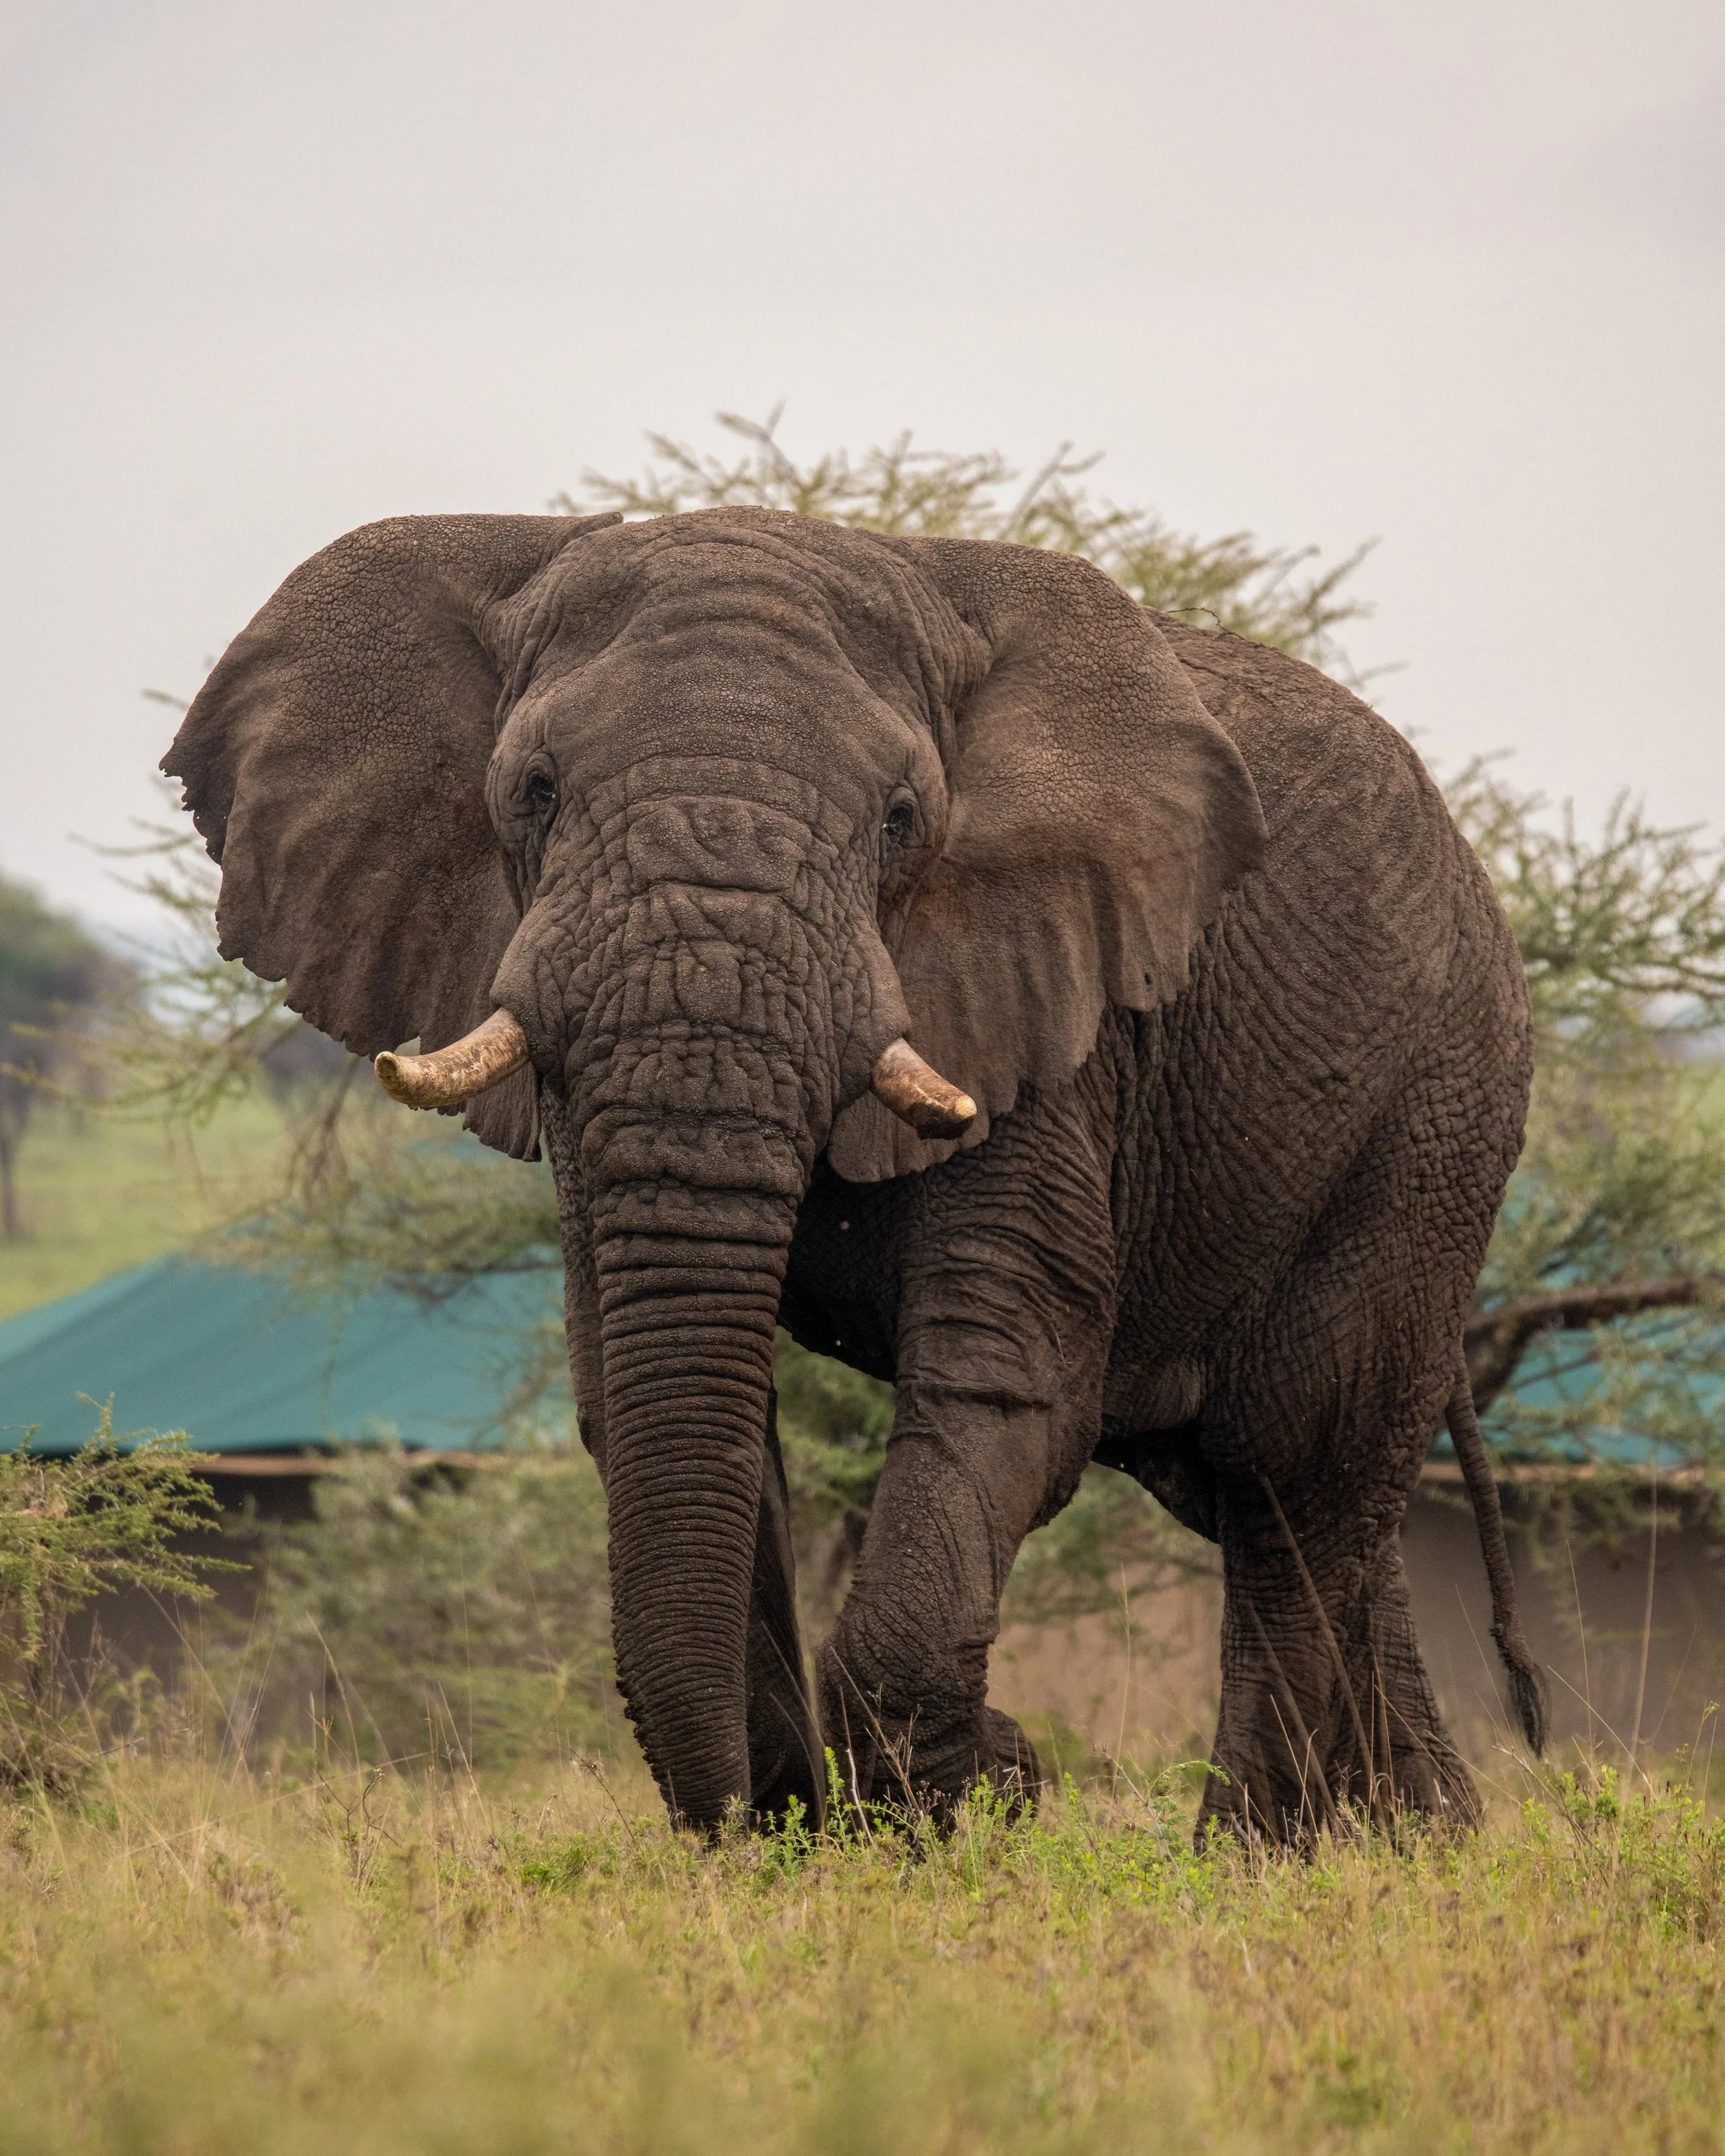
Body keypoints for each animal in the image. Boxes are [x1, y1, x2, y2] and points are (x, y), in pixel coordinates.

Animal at [164, 504, 1545, 1843]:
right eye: (536, 792)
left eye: (900, 821)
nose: (756, 1825)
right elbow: (646, 1371)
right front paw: (851, 1821)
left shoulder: (1050, 1017)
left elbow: (1005, 1378)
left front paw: (946, 1816)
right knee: (1290, 1497)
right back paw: (1418, 1846)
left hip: (1432, 1113)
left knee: (1295, 1471)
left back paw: (1254, 1858)